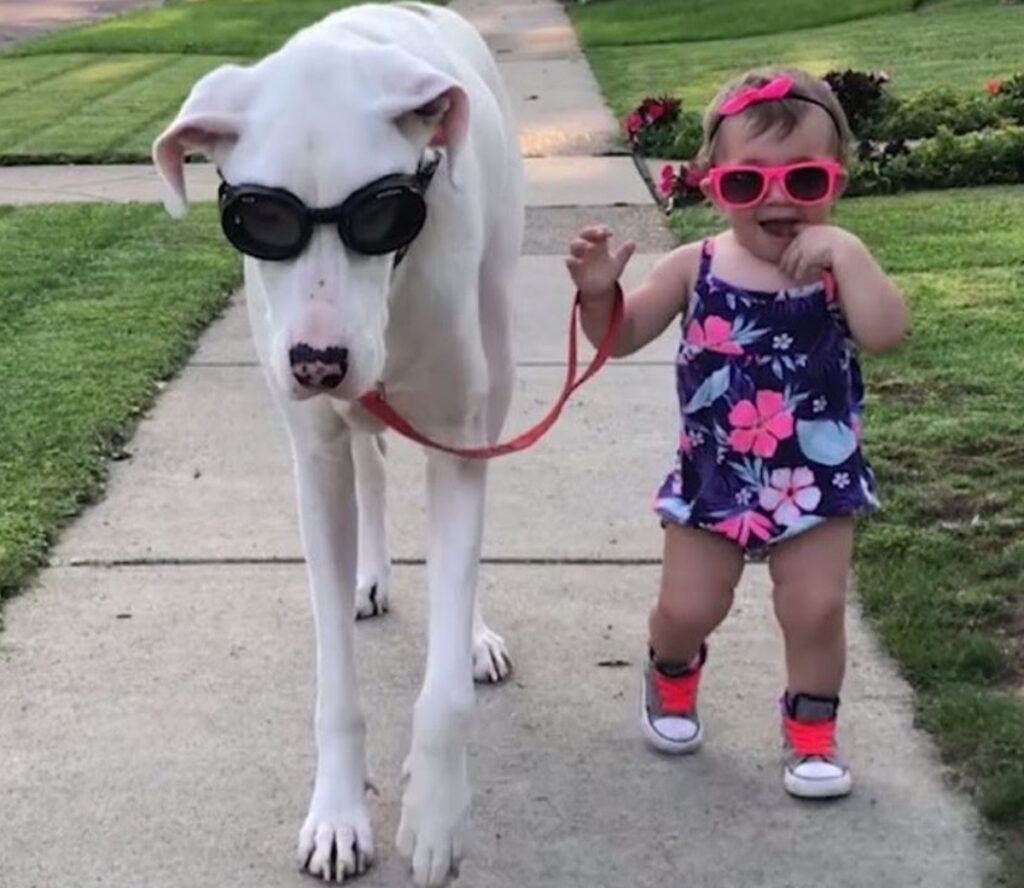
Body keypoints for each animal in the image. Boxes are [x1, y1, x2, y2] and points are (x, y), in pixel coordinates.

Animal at [153, 3, 520, 884]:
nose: (317, 361)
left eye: (384, 213)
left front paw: (434, 811)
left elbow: (444, 689)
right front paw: (338, 814)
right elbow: (334, 688)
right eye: (258, 221)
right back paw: (372, 575)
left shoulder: (456, 443)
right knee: (372, 465)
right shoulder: (315, 463)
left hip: (497, 371)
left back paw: (475, 635)